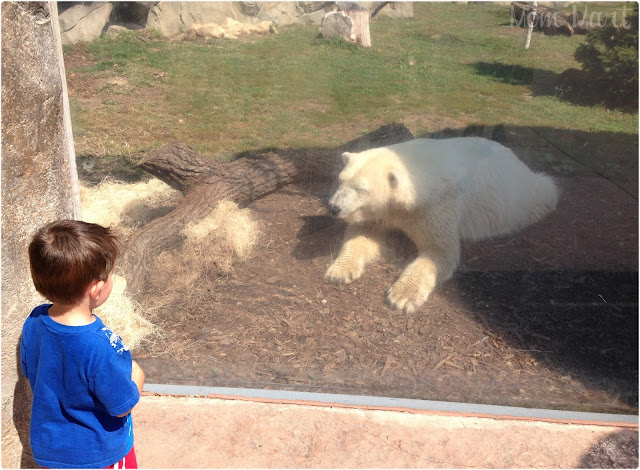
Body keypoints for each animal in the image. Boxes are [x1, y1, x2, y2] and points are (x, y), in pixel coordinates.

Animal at [328, 136, 556, 314]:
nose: (333, 207)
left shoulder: (437, 209)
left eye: (360, 188)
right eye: (340, 180)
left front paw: (402, 296)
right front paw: (339, 271)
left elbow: (440, 251)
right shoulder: (385, 211)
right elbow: (364, 231)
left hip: (519, 197)